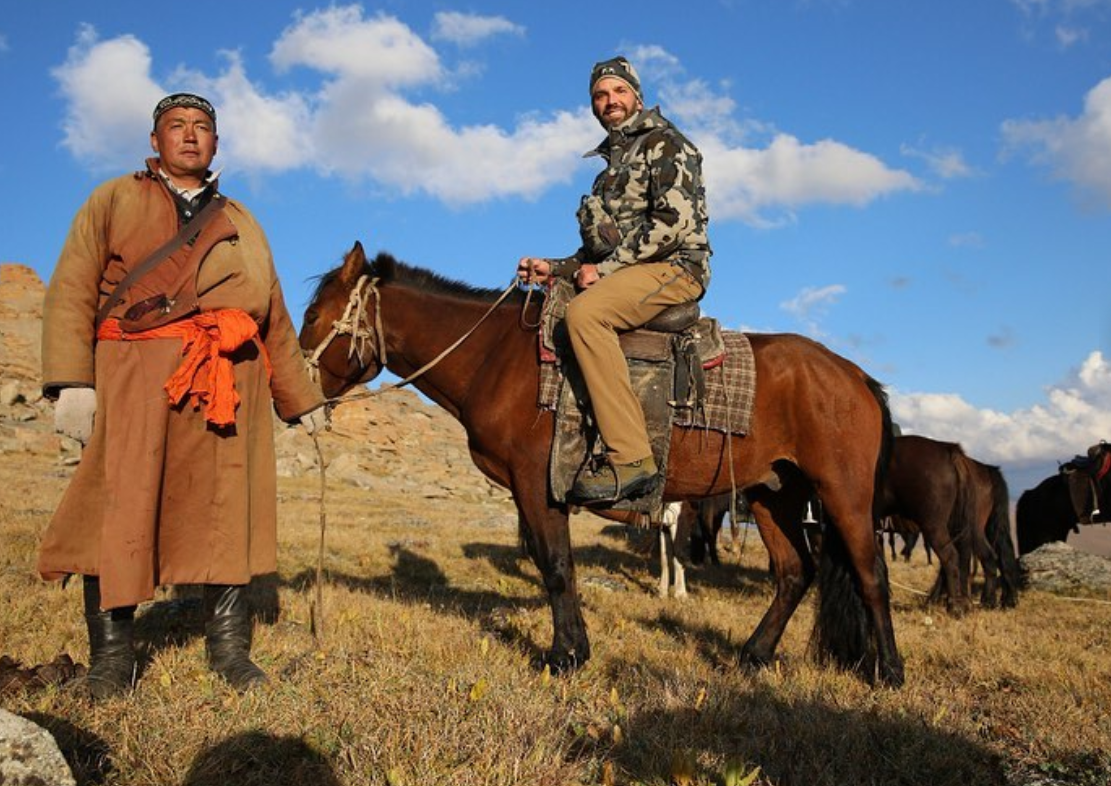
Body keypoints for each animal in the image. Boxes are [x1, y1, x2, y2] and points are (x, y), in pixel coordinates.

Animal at [302, 245, 902, 689]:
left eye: (311, 315)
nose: (292, 394)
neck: (494, 359)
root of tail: (855, 375)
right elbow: (556, 566)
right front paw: (572, 649)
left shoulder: (537, 486)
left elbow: (556, 568)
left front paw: (565, 656)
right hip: (772, 493)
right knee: (795, 573)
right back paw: (752, 656)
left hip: (841, 491)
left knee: (870, 574)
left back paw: (889, 672)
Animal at [879, 435, 1017, 613]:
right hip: (972, 528)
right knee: (992, 556)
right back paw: (994, 601)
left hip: (941, 526)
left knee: (955, 557)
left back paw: (955, 604)